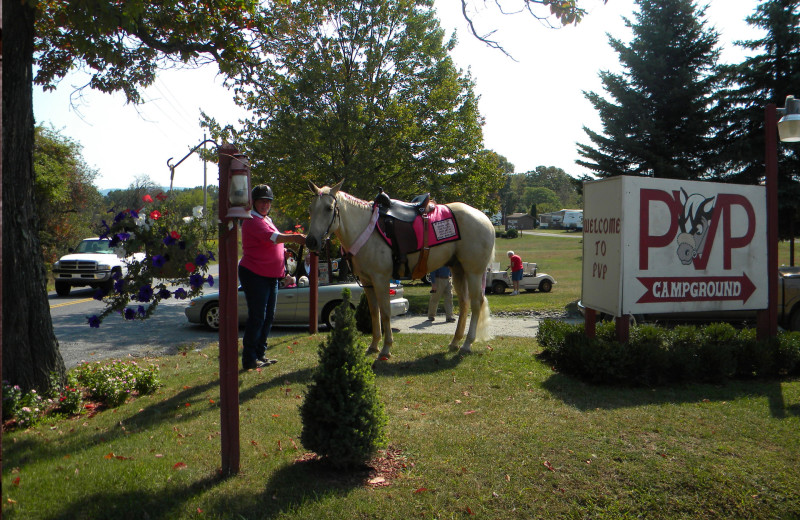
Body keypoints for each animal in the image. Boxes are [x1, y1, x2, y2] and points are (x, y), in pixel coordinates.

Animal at [306, 180, 494, 358]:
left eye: (329, 208)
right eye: (311, 209)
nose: (311, 241)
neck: (365, 229)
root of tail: (485, 219)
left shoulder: (380, 279)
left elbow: (385, 312)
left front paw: (386, 348)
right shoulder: (367, 282)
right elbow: (374, 312)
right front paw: (373, 346)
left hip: (474, 272)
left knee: (476, 303)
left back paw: (467, 344)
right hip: (458, 270)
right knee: (464, 303)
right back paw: (455, 342)